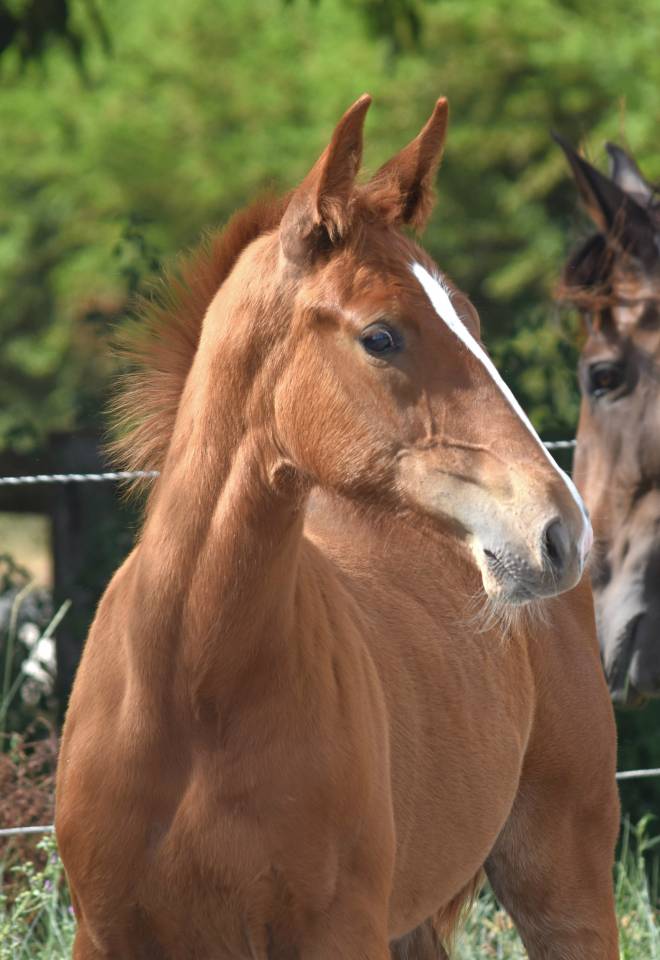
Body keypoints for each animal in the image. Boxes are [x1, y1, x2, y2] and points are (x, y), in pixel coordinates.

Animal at [56, 96, 619, 960]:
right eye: (380, 335)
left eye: (472, 317)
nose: (561, 533)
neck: (188, 688)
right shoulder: (107, 933)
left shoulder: (339, 928)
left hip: (567, 881)